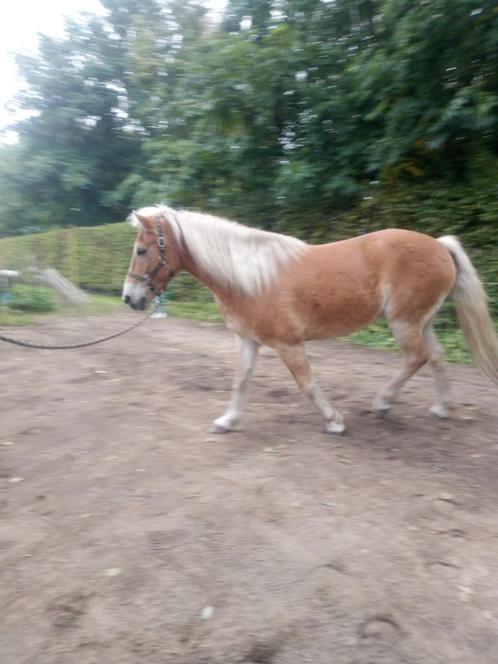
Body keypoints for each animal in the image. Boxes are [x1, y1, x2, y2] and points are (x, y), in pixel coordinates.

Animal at [121, 208, 498, 436]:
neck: (251, 277)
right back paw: (441, 407)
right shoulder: (247, 340)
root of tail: (440, 245)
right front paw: (228, 421)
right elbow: (241, 381)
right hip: (421, 321)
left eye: (141, 250)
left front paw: (334, 421)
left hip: (404, 322)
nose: (129, 297)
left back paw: (382, 402)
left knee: (416, 358)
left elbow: (307, 383)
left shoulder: (288, 344)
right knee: (435, 357)